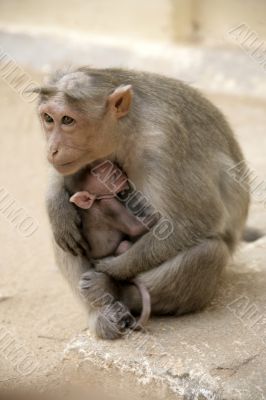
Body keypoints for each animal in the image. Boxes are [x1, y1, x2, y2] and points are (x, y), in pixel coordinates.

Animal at [68, 162, 152, 328]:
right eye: (112, 176)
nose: (124, 175)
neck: (95, 201)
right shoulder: (110, 204)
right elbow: (135, 228)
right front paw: (155, 216)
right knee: (124, 245)